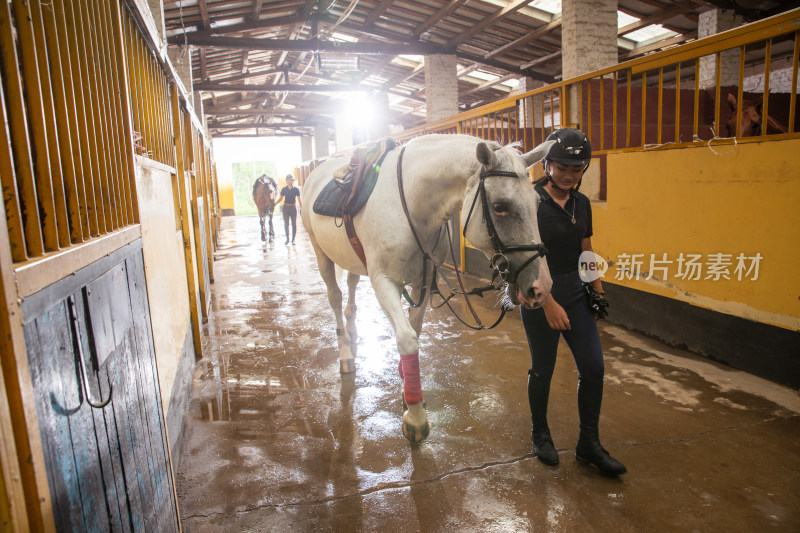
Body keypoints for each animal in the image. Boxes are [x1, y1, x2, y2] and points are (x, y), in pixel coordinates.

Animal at [304, 133, 552, 440]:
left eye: (537, 202)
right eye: (500, 206)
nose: (541, 287)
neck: (411, 205)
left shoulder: (424, 281)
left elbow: (416, 329)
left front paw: (406, 384)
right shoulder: (383, 282)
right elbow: (407, 339)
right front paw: (415, 416)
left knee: (350, 288)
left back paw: (352, 333)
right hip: (321, 255)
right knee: (336, 298)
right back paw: (346, 354)